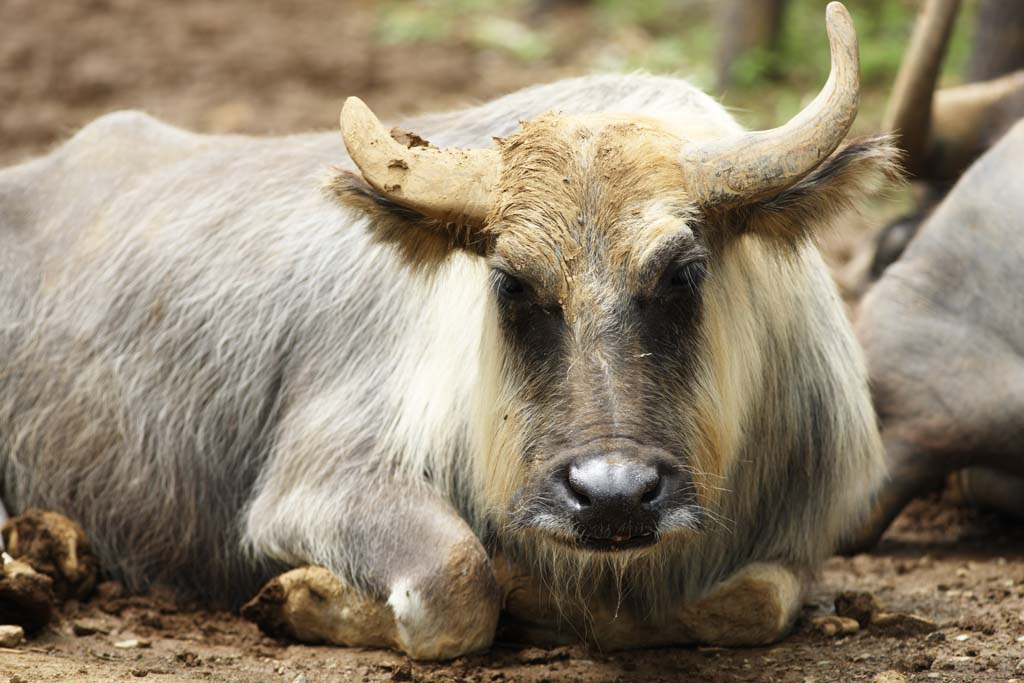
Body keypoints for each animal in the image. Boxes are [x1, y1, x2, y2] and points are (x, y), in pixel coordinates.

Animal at [0, 3, 897, 655]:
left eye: (683, 273)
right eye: (510, 283)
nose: (611, 493)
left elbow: (752, 600)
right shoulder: (318, 484)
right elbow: (460, 585)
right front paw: (301, 597)